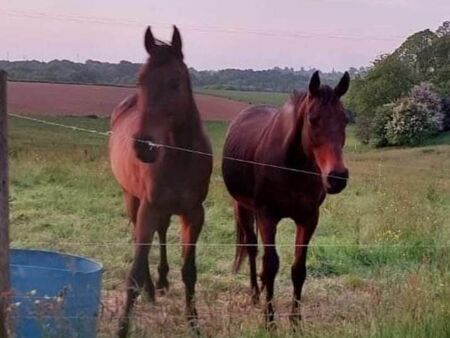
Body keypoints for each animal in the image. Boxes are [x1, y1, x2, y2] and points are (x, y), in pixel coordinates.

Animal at [110, 25, 214, 336]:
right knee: (141, 238)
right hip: (132, 199)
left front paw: (193, 323)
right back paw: (151, 289)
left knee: (163, 231)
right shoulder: (149, 207)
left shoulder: (194, 213)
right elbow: (134, 270)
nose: (143, 146)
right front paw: (123, 327)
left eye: (175, 82)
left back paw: (162, 281)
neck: (181, 155)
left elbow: (189, 271)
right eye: (140, 80)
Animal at [221, 71, 352, 328]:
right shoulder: (267, 216)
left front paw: (295, 322)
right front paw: (269, 321)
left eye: (345, 120)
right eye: (312, 119)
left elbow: (298, 268)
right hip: (243, 206)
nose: (337, 177)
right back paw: (256, 294)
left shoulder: (309, 219)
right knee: (252, 249)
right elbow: (271, 264)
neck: (292, 167)